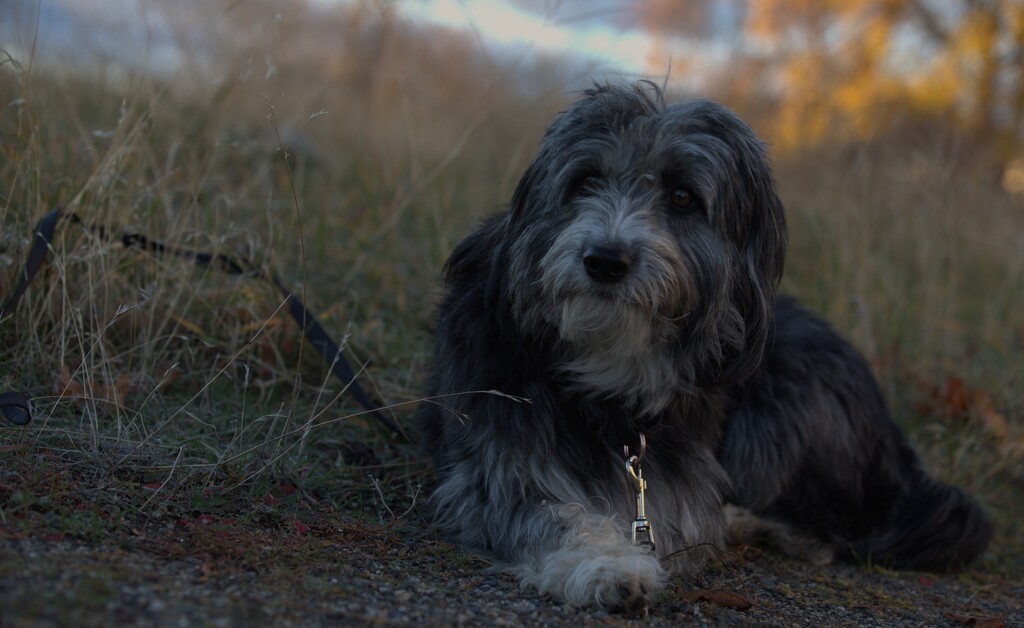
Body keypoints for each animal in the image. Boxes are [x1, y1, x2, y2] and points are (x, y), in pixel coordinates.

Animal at [417, 81, 991, 610]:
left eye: (683, 198)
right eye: (586, 180)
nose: (604, 260)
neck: (608, 377)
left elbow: (685, 518)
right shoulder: (494, 462)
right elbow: (543, 512)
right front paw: (607, 563)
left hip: (777, 415)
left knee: (831, 528)